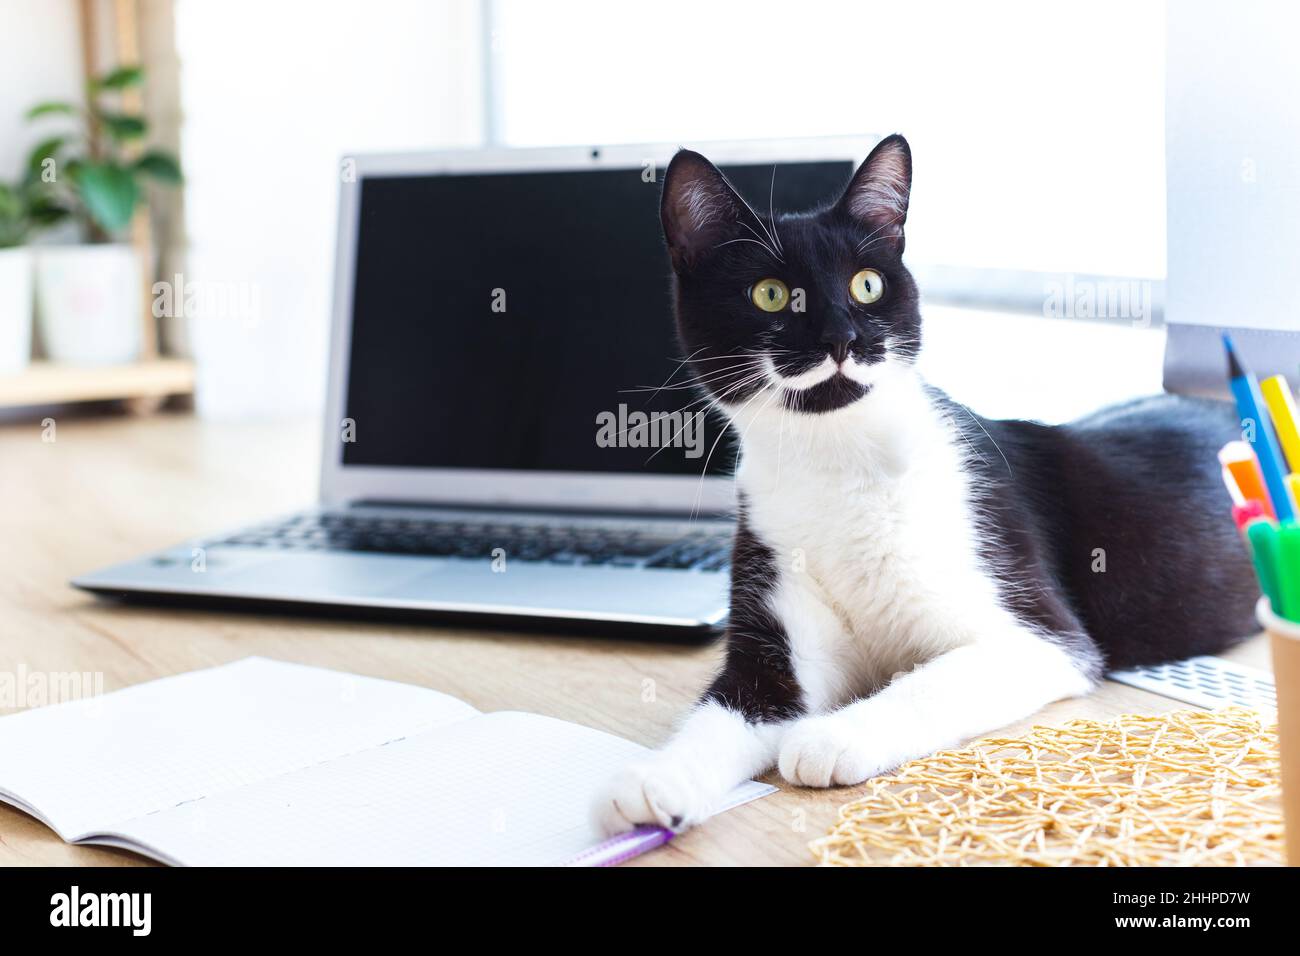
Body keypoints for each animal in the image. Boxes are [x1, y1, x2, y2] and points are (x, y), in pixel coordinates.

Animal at [595, 134, 1253, 837]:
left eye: (868, 283)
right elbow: (735, 706)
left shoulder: (1039, 636)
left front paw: (833, 736)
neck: (838, 464)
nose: (842, 337)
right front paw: (659, 777)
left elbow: (930, 682)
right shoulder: (771, 582)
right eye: (770, 294)